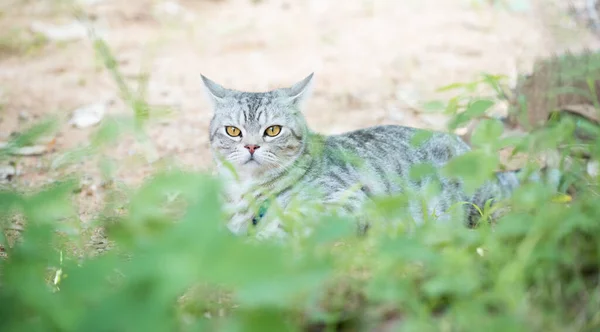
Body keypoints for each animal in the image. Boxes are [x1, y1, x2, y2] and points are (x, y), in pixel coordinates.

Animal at [204, 73, 560, 239]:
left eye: (273, 130)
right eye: (233, 131)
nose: (251, 147)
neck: (247, 190)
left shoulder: (346, 202)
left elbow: (288, 225)